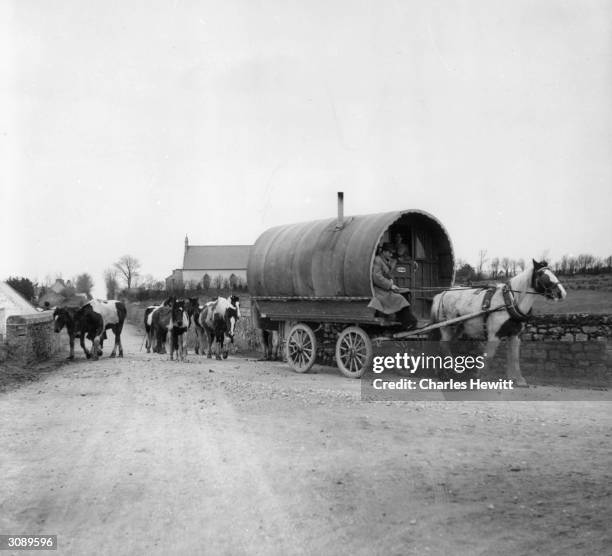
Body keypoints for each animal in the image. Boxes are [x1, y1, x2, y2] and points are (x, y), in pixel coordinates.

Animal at [430, 260, 564, 386]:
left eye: (553, 272)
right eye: (542, 275)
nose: (562, 293)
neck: (509, 301)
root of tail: (441, 294)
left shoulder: (515, 335)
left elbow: (514, 357)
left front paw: (518, 380)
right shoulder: (494, 335)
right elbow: (489, 357)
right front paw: (481, 378)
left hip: (458, 329)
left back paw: (444, 372)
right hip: (447, 327)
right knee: (443, 345)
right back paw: (451, 371)